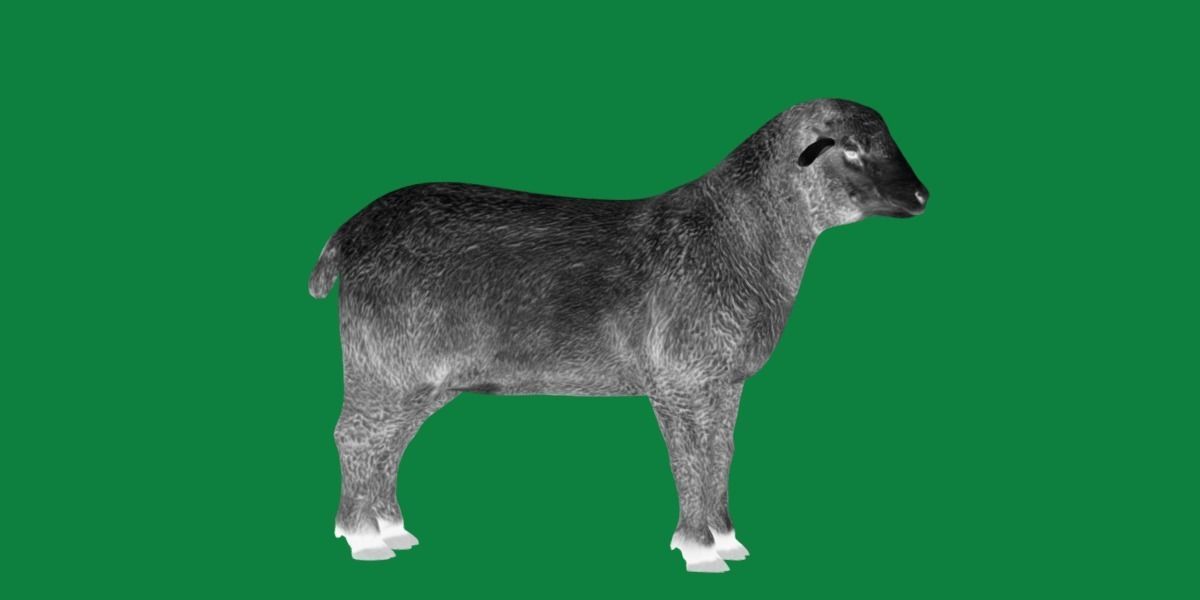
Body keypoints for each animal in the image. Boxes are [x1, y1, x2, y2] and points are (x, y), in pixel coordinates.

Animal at [308, 99, 928, 572]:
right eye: (851, 147)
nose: (922, 195)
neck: (735, 236)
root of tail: (346, 233)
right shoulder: (680, 382)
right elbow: (690, 458)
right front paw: (701, 551)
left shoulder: (724, 383)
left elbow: (721, 454)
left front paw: (729, 540)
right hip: (385, 365)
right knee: (354, 437)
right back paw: (364, 540)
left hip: (420, 381)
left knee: (386, 445)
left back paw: (391, 528)